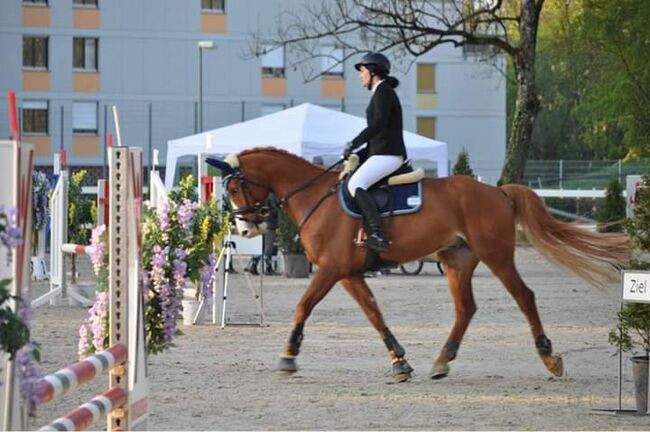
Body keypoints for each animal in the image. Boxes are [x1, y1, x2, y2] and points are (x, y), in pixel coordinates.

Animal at [210, 148, 632, 382]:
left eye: (234, 187)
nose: (245, 229)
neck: (316, 194)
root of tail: (497, 191)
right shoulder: (347, 273)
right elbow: (374, 314)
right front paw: (399, 361)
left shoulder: (331, 270)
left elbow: (303, 306)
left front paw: (288, 355)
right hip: (457, 260)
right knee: (466, 308)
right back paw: (443, 361)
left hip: (496, 255)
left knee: (524, 297)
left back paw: (549, 357)